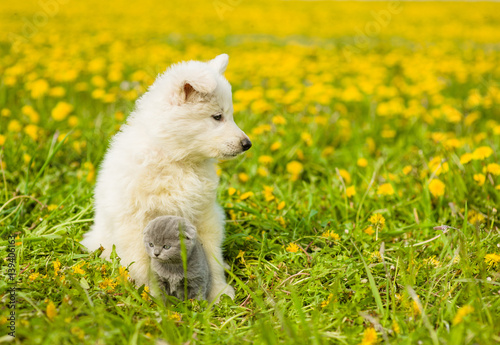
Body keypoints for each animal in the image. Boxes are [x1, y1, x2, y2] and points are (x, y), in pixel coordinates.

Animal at [81, 54, 250, 300]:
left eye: (230, 115)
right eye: (217, 116)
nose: (247, 144)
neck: (176, 158)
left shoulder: (205, 216)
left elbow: (211, 257)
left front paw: (218, 292)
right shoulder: (136, 221)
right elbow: (142, 263)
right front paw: (151, 296)